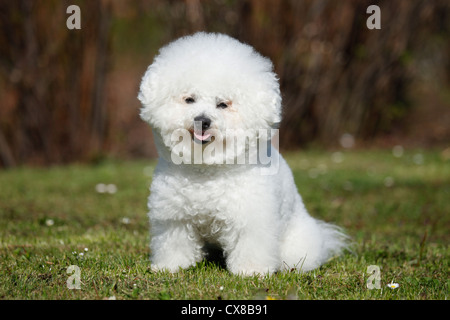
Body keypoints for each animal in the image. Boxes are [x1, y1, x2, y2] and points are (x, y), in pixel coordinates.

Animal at [137, 32, 348, 276]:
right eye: (189, 99)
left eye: (223, 104)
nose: (202, 121)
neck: (207, 170)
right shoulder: (175, 217)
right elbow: (175, 243)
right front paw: (170, 266)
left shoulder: (251, 220)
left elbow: (251, 246)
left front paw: (251, 271)